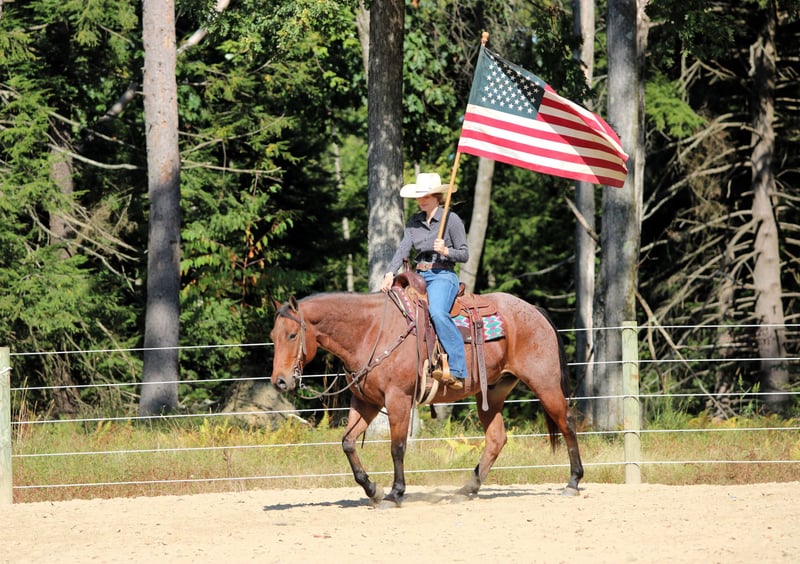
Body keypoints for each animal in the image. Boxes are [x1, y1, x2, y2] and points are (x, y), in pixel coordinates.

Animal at [270, 289, 583, 507]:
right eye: (273, 336)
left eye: (293, 334)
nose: (280, 381)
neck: (370, 332)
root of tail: (534, 310)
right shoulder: (366, 402)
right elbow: (348, 443)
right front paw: (373, 489)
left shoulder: (398, 399)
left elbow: (397, 448)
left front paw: (395, 493)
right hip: (492, 392)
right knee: (496, 438)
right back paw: (467, 489)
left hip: (545, 384)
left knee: (566, 422)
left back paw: (573, 481)